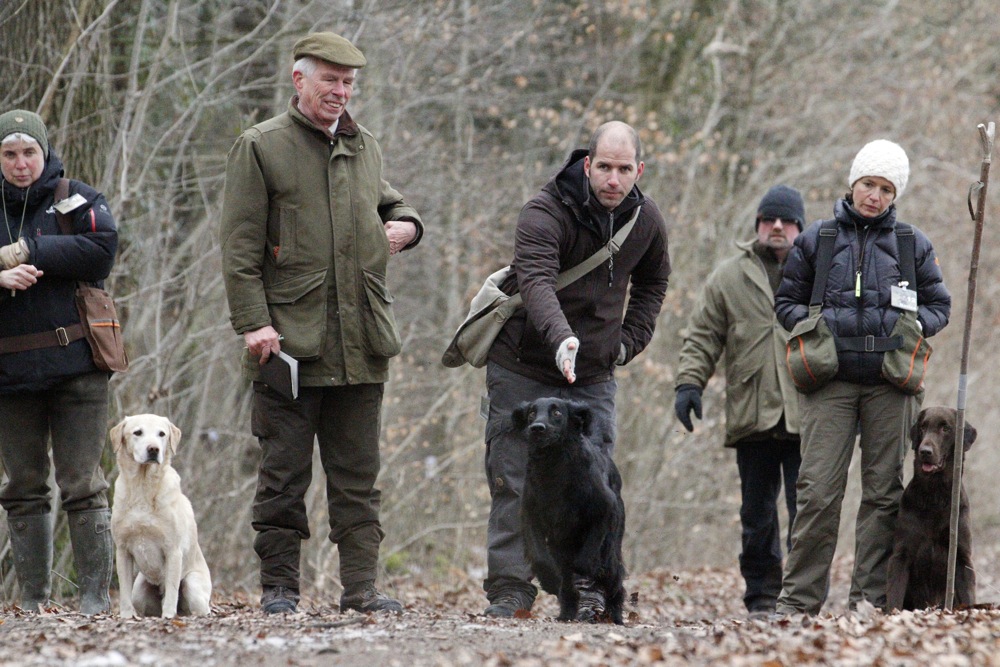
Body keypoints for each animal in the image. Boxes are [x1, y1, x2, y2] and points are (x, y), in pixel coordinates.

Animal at [516, 400, 624, 624]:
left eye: (557, 412)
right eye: (531, 413)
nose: (537, 428)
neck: (553, 464)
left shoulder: (605, 509)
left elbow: (585, 559)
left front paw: (586, 568)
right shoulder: (531, 515)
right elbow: (541, 558)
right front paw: (549, 580)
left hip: (610, 549)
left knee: (614, 580)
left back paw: (616, 616)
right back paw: (566, 612)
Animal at [888, 408, 972, 612]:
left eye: (945, 428)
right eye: (923, 427)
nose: (925, 451)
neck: (935, 495)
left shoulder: (962, 557)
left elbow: (969, 597)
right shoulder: (901, 555)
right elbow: (894, 597)